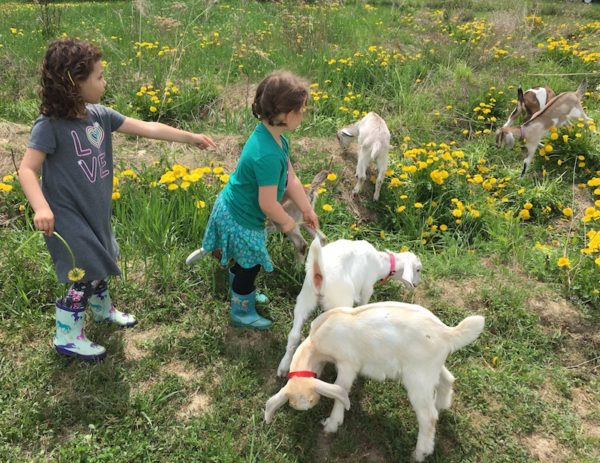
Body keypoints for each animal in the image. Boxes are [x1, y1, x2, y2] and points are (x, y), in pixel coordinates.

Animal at [264, 302, 486, 462]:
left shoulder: (347, 364)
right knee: (447, 380)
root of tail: (448, 334)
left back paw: (420, 453)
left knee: (428, 417)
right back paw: (442, 405)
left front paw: (332, 424)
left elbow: (341, 389)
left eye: (311, 400)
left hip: (417, 379)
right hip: (430, 368)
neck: (316, 343)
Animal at [276, 239, 422, 376]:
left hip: (305, 297)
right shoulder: (367, 287)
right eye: (418, 269)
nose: (416, 285)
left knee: (294, 334)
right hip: (340, 301)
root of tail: (319, 275)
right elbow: (364, 303)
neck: (381, 262)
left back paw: (283, 367)